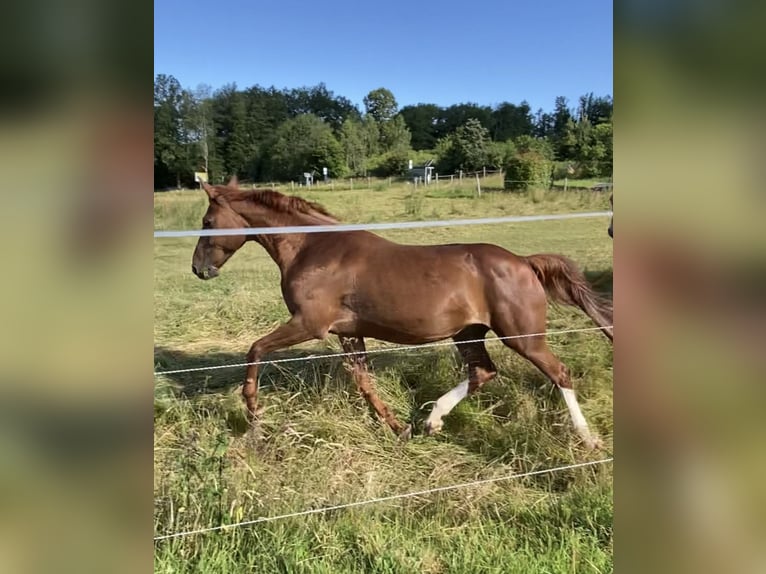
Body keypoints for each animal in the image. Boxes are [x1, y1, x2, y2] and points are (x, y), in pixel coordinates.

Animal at [194, 178, 616, 452]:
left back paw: (588, 439)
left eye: (207, 222)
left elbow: (255, 349)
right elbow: (364, 383)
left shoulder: (310, 325)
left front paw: (253, 415)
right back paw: (432, 420)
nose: (199, 269)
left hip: (522, 336)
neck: (314, 248)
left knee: (560, 373)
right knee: (483, 372)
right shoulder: (349, 333)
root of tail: (524, 262)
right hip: (468, 333)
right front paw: (399, 428)